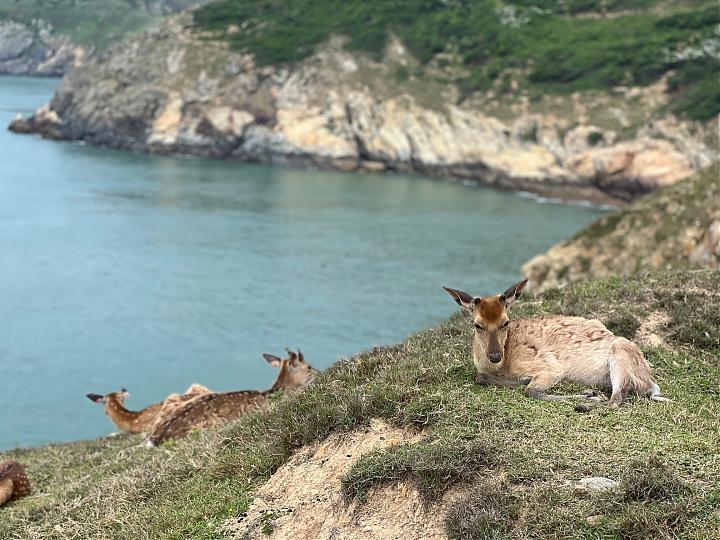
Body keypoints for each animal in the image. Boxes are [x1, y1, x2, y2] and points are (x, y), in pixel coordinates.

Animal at [443, 278, 669, 410]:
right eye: (477, 325)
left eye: (505, 322)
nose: (495, 356)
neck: (504, 365)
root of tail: (652, 385)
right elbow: (480, 377)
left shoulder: (550, 367)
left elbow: (531, 391)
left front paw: (590, 395)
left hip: (621, 354)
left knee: (617, 399)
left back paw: (588, 403)